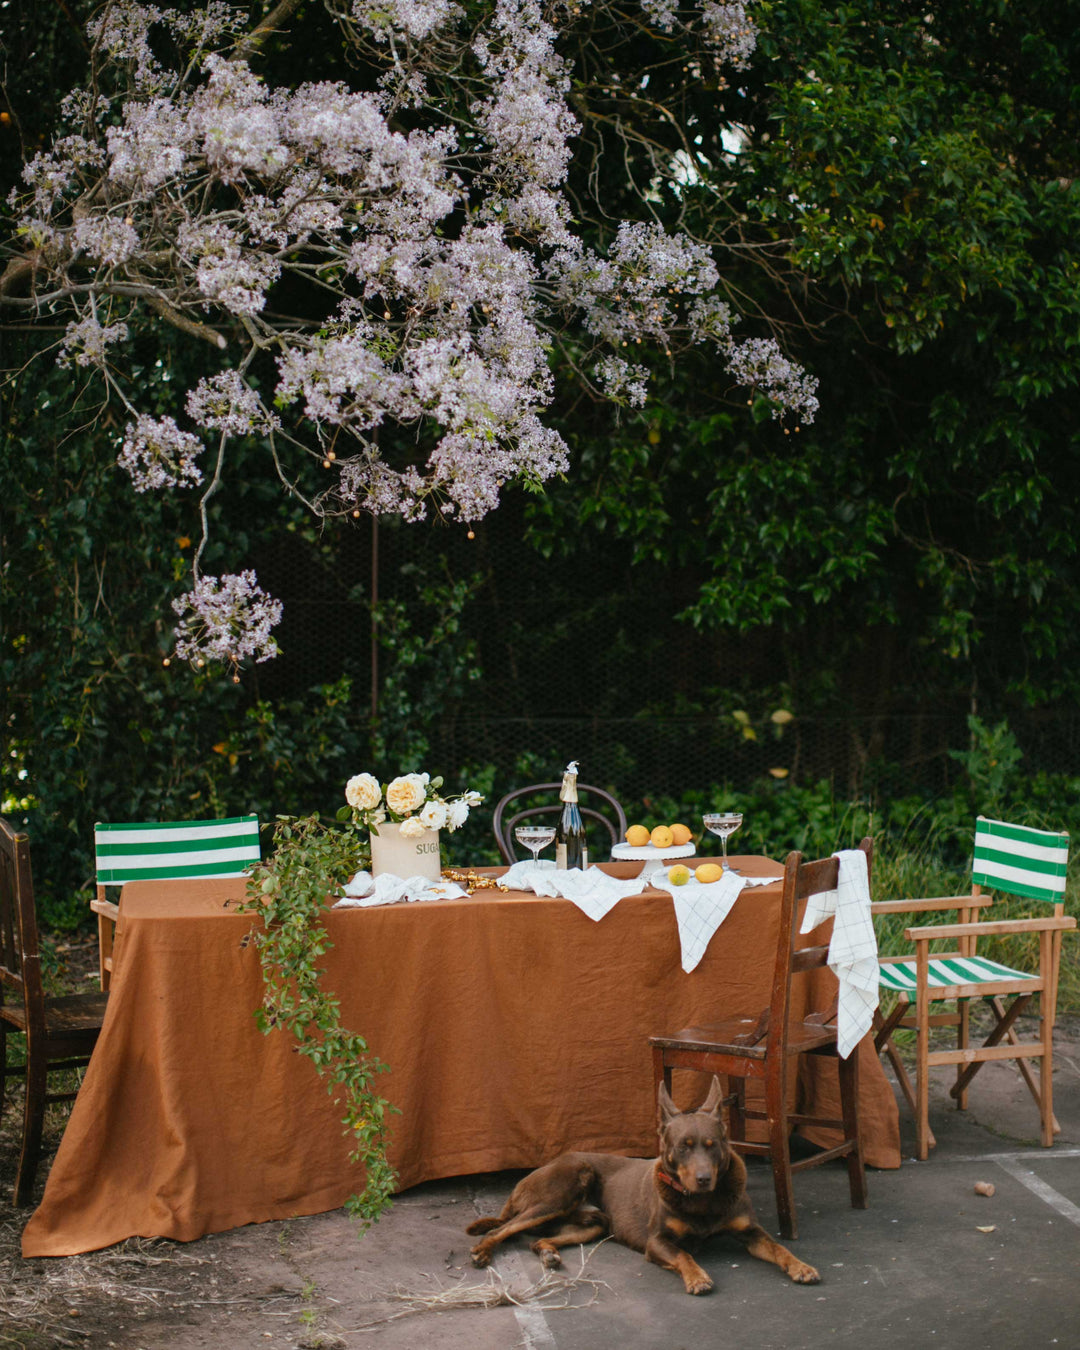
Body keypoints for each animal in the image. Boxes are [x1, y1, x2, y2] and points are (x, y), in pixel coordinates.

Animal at [467, 1074, 820, 1296]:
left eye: (713, 1145)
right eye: (683, 1147)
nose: (704, 1179)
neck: (703, 1202)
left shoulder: (750, 1231)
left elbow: (779, 1248)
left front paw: (801, 1266)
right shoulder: (657, 1241)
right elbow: (683, 1255)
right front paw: (698, 1278)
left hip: (595, 1223)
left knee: (538, 1240)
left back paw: (549, 1254)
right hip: (563, 1189)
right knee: (502, 1228)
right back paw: (483, 1251)